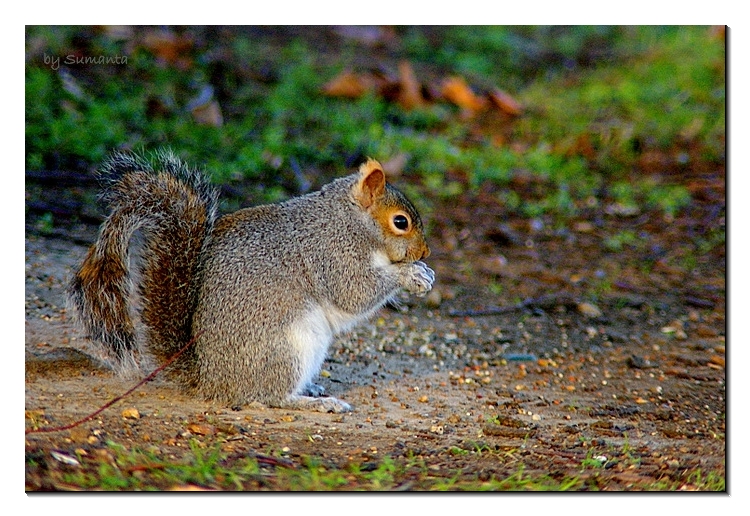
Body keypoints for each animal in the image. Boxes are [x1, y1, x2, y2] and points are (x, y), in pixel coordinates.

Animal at [68, 150, 434, 413]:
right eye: (400, 222)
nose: (426, 251)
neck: (350, 220)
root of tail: (210, 382)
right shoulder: (333, 253)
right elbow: (355, 291)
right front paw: (411, 274)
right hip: (288, 346)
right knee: (267, 396)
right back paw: (316, 402)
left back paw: (313, 388)